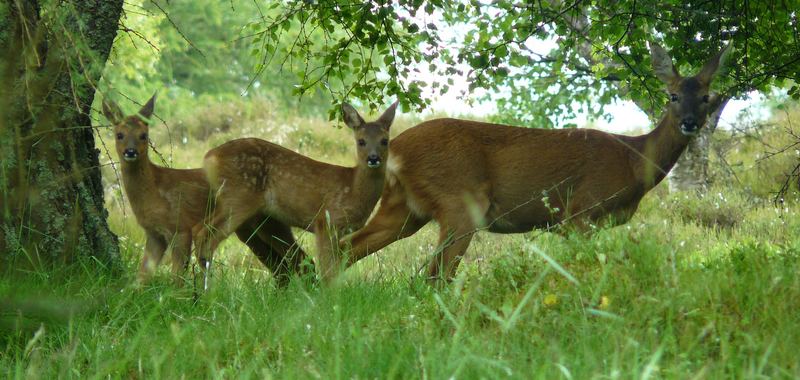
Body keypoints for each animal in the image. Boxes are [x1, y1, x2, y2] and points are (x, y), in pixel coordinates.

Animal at [104, 95, 310, 284]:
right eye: (119, 135)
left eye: (144, 135)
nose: (130, 152)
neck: (154, 190)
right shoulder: (154, 234)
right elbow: (141, 278)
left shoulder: (181, 226)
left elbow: (177, 277)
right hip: (252, 228)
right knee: (283, 265)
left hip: (268, 222)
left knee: (296, 259)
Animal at [195, 100, 400, 282]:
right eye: (361, 141)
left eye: (385, 141)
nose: (373, 158)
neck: (353, 188)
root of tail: (209, 157)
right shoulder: (326, 221)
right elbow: (329, 270)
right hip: (238, 197)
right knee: (204, 236)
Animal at [340, 43, 732, 284]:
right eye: (673, 95)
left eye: (706, 97)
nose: (690, 122)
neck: (633, 161)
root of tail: (395, 148)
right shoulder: (581, 211)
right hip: (459, 200)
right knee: (435, 275)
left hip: (404, 206)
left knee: (350, 247)